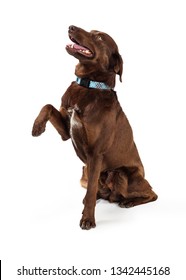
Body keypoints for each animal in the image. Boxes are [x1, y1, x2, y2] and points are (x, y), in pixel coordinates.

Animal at [32, 24, 157, 230]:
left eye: (99, 38)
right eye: (91, 32)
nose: (71, 26)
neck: (89, 85)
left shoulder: (96, 153)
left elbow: (91, 191)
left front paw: (88, 219)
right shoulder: (67, 131)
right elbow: (48, 106)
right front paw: (37, 127)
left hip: (120, 173)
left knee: (152, 193)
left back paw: (129, 201)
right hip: (85, 171)